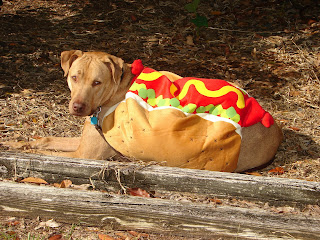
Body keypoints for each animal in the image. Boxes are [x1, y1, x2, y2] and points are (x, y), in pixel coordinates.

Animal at [3, 50, 282, 172]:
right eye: (74, 77)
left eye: (97, 82)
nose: (78, 107)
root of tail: (274, 129)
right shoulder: (82, 143)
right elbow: (44, 140)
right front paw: (14, 142)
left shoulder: (84, 155)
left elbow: (43, 151)